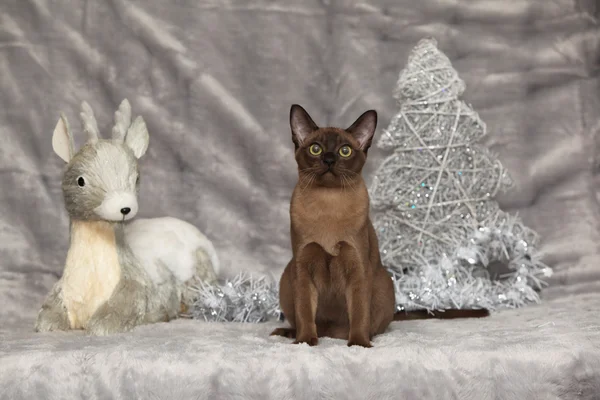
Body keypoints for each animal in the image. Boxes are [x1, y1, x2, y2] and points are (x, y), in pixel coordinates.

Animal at [270, 105, 394, 346]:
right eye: (315, 149)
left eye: (345, 151)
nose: (328, 160)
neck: (328, 203)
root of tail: (331, 333)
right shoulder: (303, 267)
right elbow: (305, 312)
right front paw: (305, 342)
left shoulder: (357, 269)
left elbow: (359, 313)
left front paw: (359, 344)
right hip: (287, 277)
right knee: (302, 321)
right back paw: (288, 333)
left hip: (385, 284)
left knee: (372, 325)